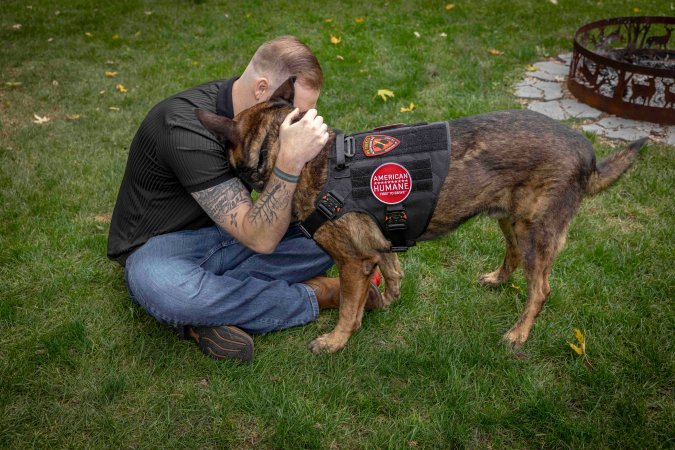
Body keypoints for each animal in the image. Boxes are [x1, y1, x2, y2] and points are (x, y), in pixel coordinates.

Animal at [194, 78, 644, 356]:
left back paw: (518, 333)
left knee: (541, 289)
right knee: (513, 256)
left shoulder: (353, 261)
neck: (299, 156)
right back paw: (497, 280)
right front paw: (385, 301)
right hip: (509, 219)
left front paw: (337, 340)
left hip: (535, 230)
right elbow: (392, 271)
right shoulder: (380, 244)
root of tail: (587, 153)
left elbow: (348, 308)